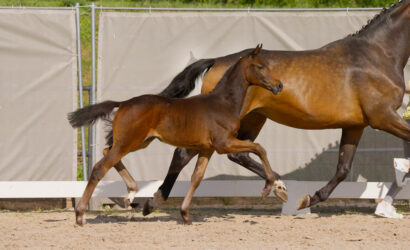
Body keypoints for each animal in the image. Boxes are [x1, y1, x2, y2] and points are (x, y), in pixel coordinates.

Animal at [68, 44, 286, 226]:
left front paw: (186, 216)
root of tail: (122, 103)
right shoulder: (224, 144)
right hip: (130, 142)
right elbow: (260, 148)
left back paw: (131, 192)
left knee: (107, 152)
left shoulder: (207, 149)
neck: (223, 103)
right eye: (260, 67)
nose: (279, 86)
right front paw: (269, 186)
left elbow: (196, 178)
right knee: (100, 167)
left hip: (139, 142)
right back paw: (80, 215)